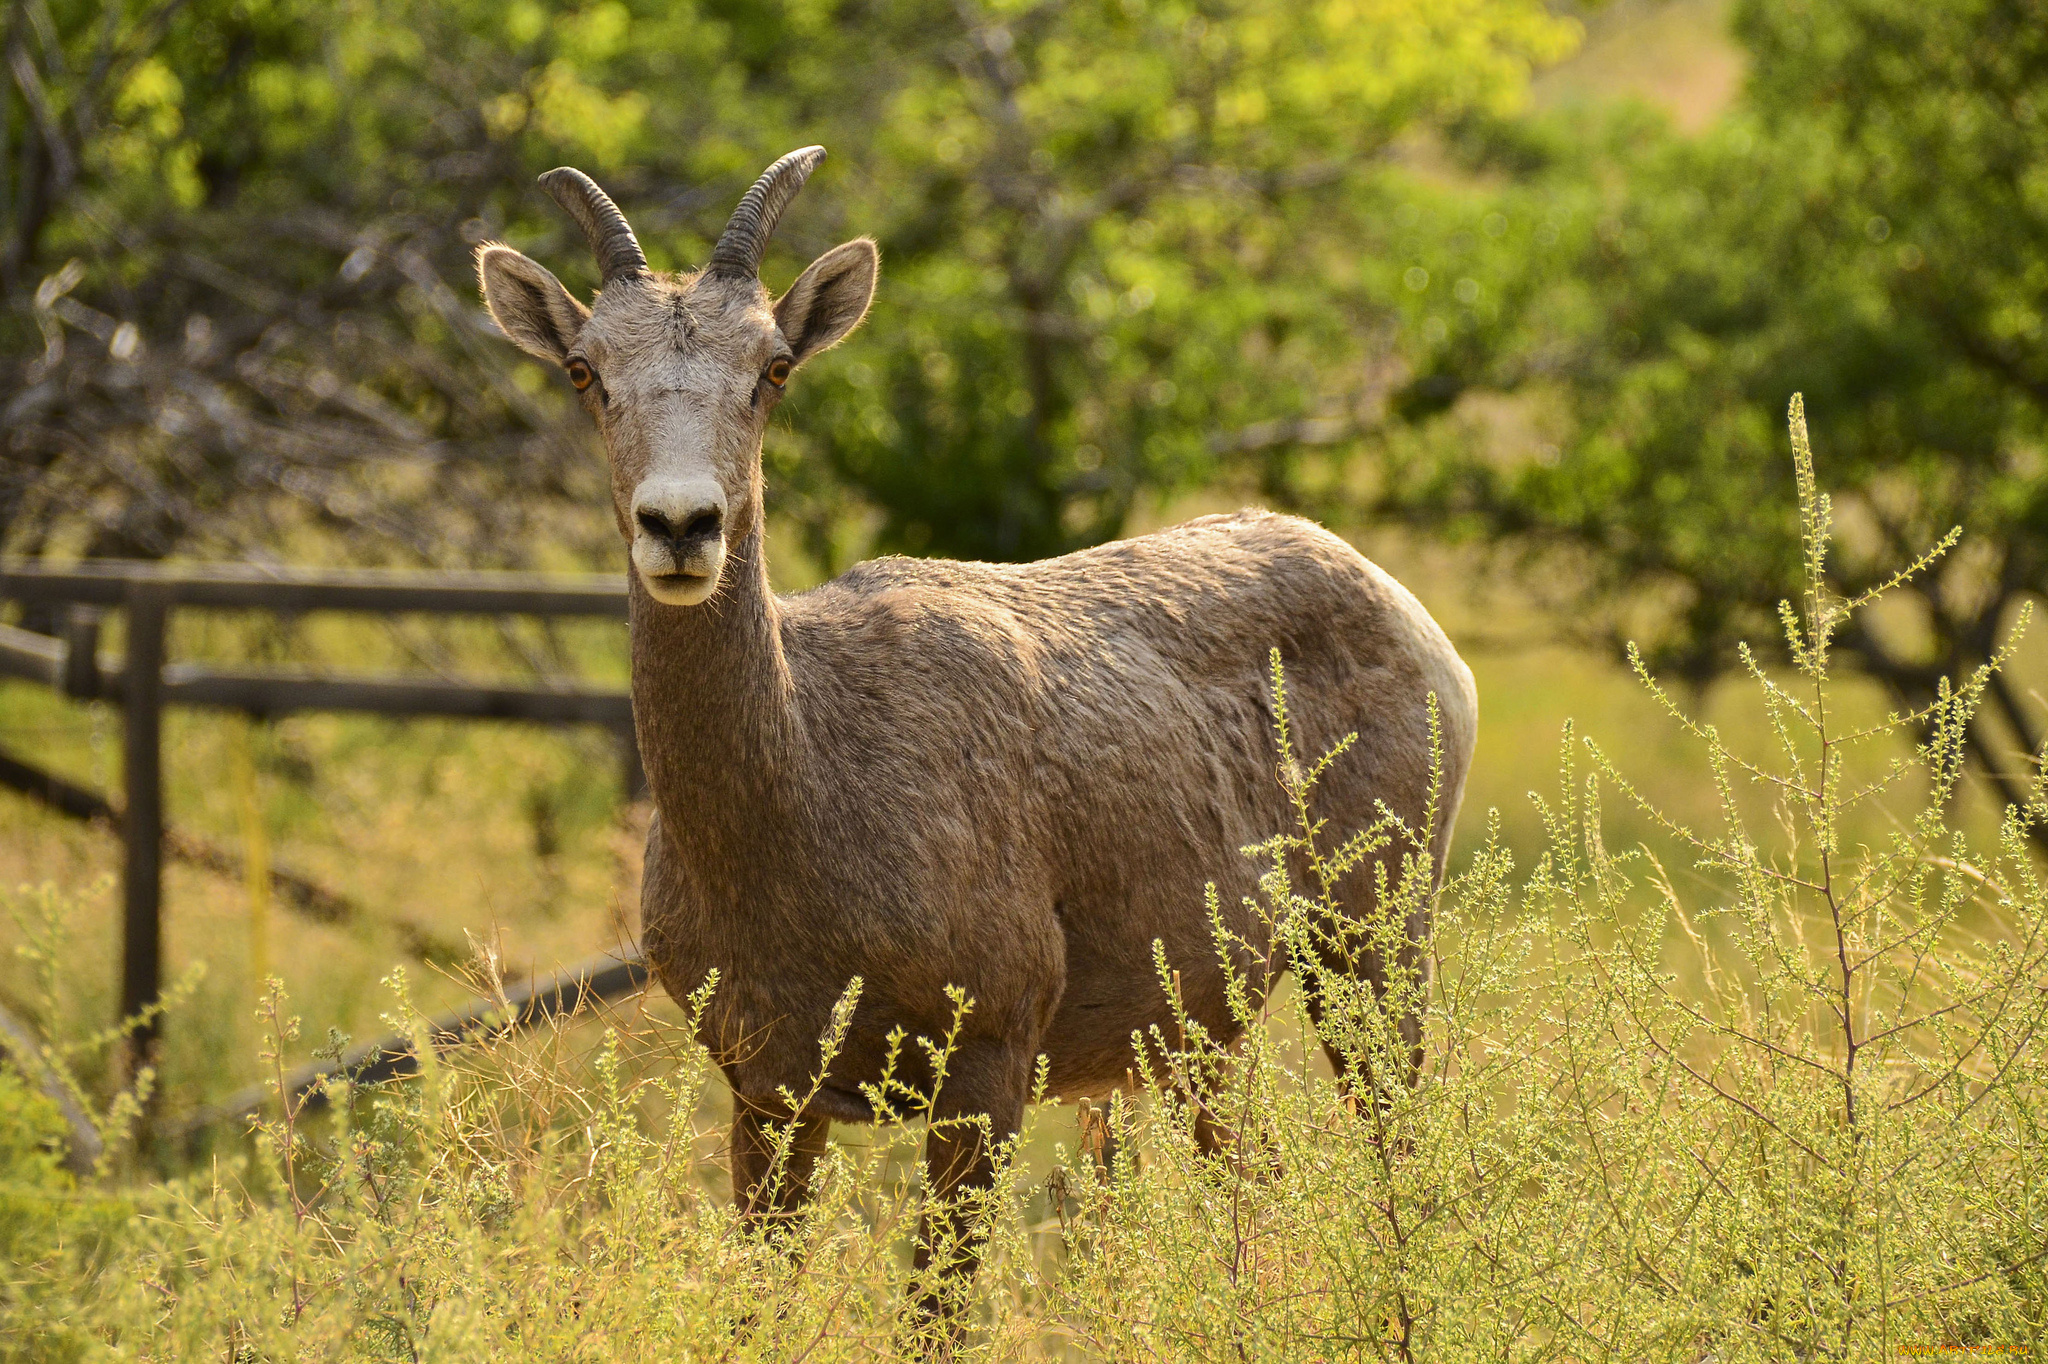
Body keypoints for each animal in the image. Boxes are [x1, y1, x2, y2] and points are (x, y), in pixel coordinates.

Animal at [479, 148, 1474, 1286]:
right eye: (583, 369)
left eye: (773, 368)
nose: (682, 524)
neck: (806, 806)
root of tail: (1413, 622)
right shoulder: (767, 1091)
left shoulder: (987, 1065)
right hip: (1205, 1030)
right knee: (1250, 1172)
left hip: (1377, 945)